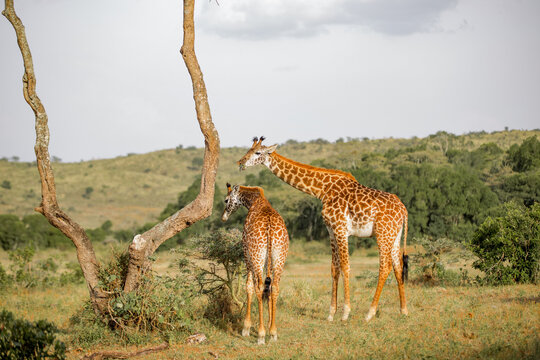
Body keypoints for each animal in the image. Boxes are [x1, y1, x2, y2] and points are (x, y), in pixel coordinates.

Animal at [221, 183, 288, 344]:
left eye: (226, 200)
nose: (223, 217)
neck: (253, 201)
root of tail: (269, 226)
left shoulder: (247, 255)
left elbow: (249, 286)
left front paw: (246, 328)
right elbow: (268, 288)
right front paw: (270, 328)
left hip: (256, 256)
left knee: (258, 287)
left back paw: (261, 335)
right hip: (279, 257)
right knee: (274, 287)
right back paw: (273, 332)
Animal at [237, 137, 410, 320]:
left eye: (257, 152)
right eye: (248, 150)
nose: (240, 162)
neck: (323, 190)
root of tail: (403, 209)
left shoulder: (341, 229)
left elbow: (346, 266)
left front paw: (345, 312)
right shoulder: (331, 230)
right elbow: (334, 268)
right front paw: (331, 313)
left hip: (383, 235)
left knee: (385, 267)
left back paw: (370, 313)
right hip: (394, 236)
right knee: (398, 266)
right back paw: (403, 310)